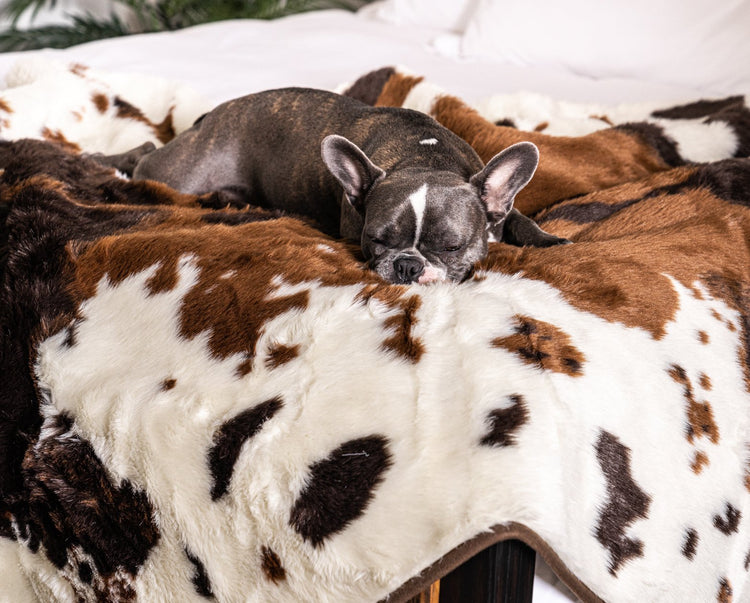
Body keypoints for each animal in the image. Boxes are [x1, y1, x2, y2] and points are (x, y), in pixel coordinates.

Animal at [101, 88, 568, 286]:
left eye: (451, 247)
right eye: (375, 239)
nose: (408, 266)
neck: (424, 157)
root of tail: (211, 114)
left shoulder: (499, 205)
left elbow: (522, 222)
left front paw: (551, 241)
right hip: (178, 173)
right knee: (144, 153)